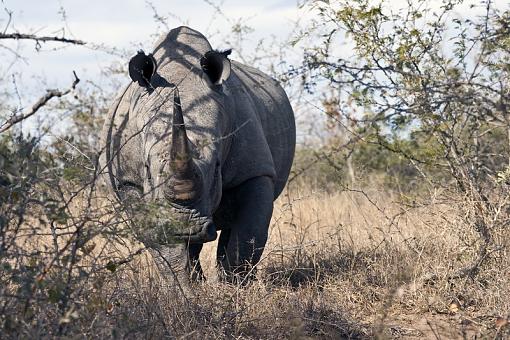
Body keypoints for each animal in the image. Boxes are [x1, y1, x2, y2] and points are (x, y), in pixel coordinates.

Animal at [99, 25, 294, 284]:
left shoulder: (256, 171)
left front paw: (232, 287)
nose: (184, 227)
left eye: (217, 167)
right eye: (147, 170)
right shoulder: (127, 181)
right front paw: (184, 289)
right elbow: (164, 249)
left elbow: (248, 236)